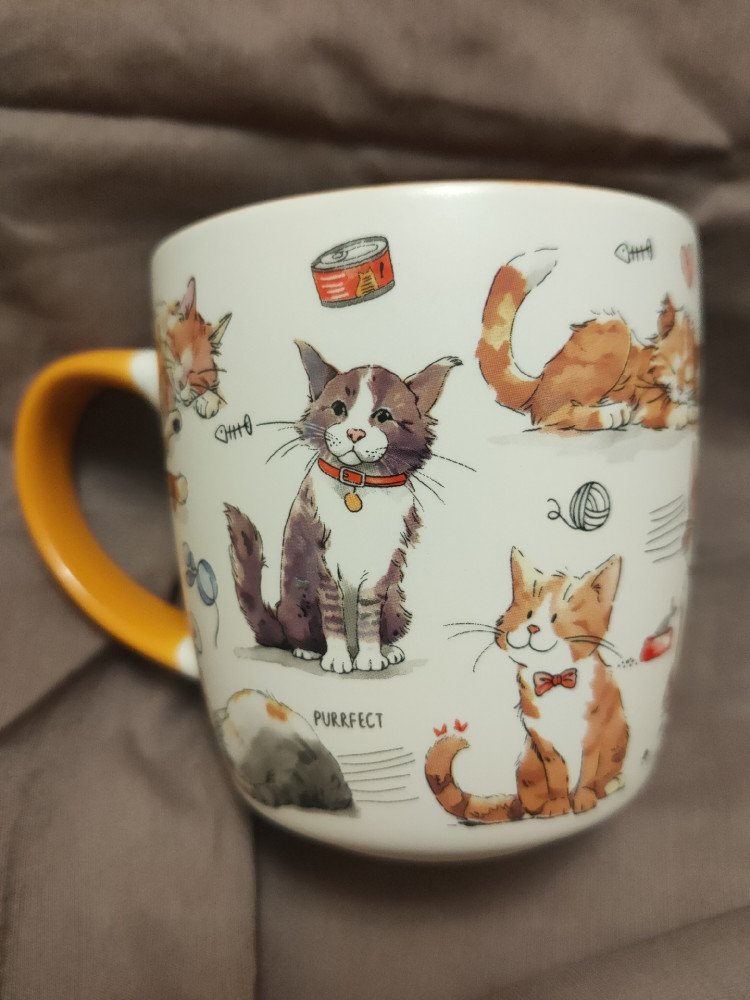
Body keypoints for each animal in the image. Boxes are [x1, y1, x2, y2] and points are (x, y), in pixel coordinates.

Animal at [226, 340, 460, 674]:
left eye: (383, 416)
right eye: (338, 409)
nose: (355, 433)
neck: (359, 485)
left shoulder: (381, 566)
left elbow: (369, 614)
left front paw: (371, 656)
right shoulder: (320, 558)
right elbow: (333, 613)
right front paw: (337, 658)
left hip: (396, 605)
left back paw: (387, 649)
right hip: (298, 601)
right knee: (296, 633)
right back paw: (309, 651)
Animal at [425, 547, 629, 822]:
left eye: (555, 617)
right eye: (528, 614)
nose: (532, 627)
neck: (556, 680)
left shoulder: (593, 734)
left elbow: (588, 770)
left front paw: (584, 800)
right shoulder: (543, 741)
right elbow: (556, 777)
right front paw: (558, 806)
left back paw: (610, 785)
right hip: (528, 763)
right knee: (532, 801)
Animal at [476, 249, 699, 431]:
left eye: (693, 373)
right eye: (674, 367)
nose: (684, 390)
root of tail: (541, 381)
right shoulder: (649, 403)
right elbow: (673, 412)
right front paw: (687, 411)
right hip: (616, 331)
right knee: (550, 415)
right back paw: (610, 413)